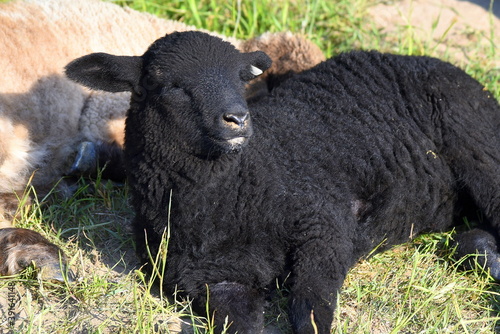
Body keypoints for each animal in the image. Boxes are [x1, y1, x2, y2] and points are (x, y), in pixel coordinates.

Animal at [65, 32, 500, 334]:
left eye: (241, 79)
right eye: (170, 85)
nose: (238, 119)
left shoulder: (323, 224)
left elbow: (309, 314)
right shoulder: (212, 281)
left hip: (478, 144)